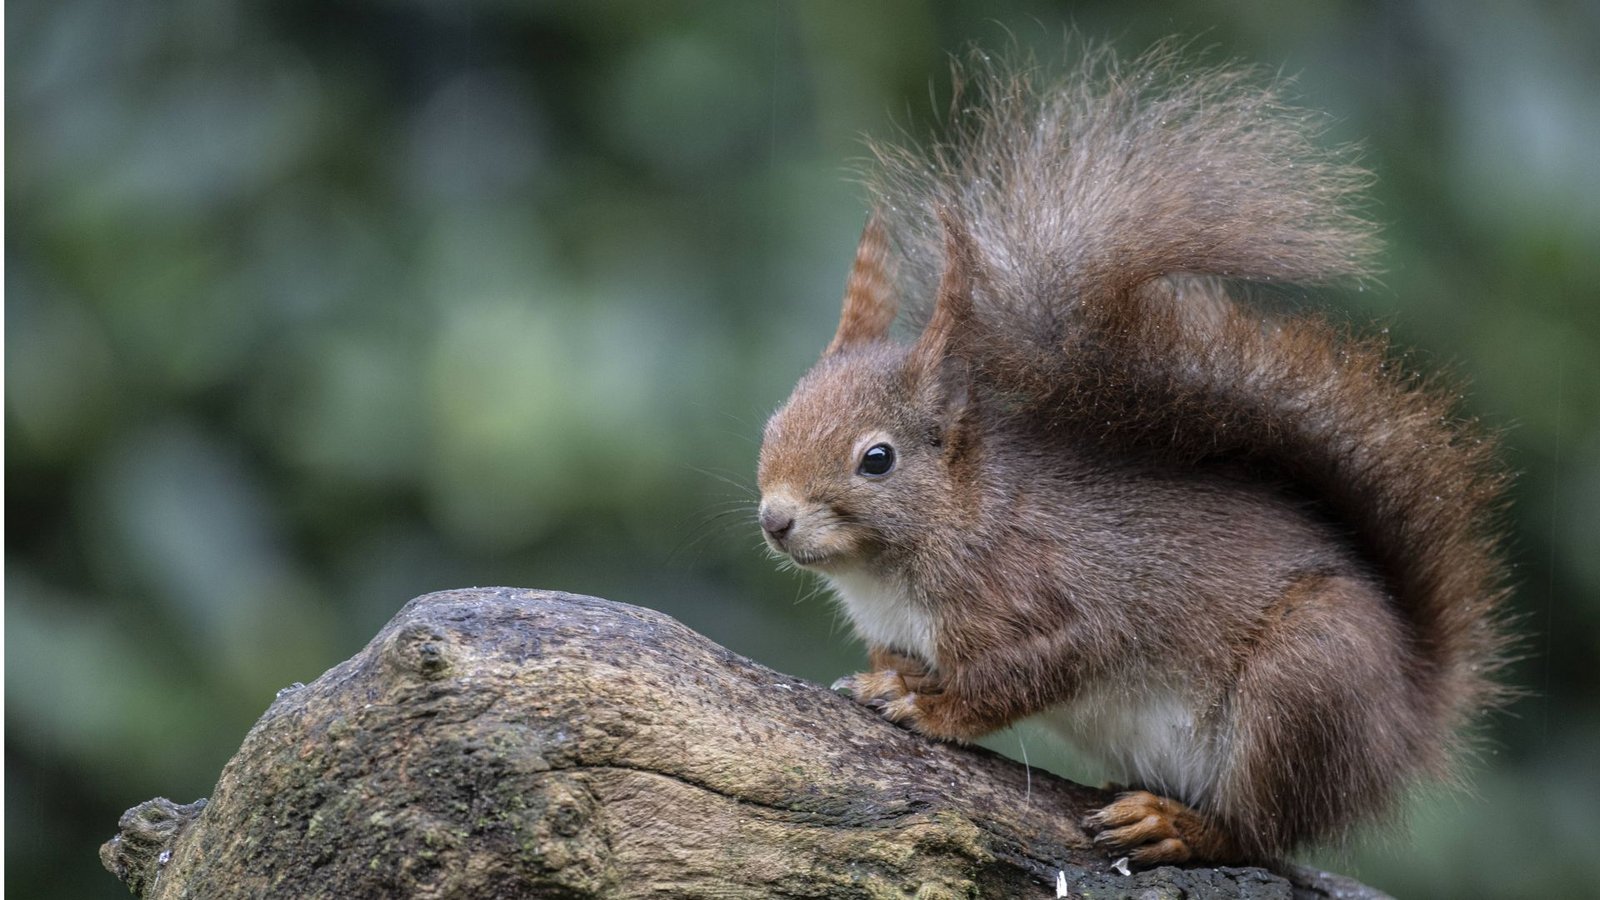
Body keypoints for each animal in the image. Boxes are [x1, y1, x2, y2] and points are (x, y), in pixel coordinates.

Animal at [755, 43, 1513, 867]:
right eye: (773, 422)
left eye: (877, 459)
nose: (774, 519)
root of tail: (1408, 716)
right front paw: (888, 678)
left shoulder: (1051, 599)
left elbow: (1032, 672)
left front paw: (932, 708)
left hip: (1303, 687)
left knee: (1258, 831)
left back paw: (1175, 824)